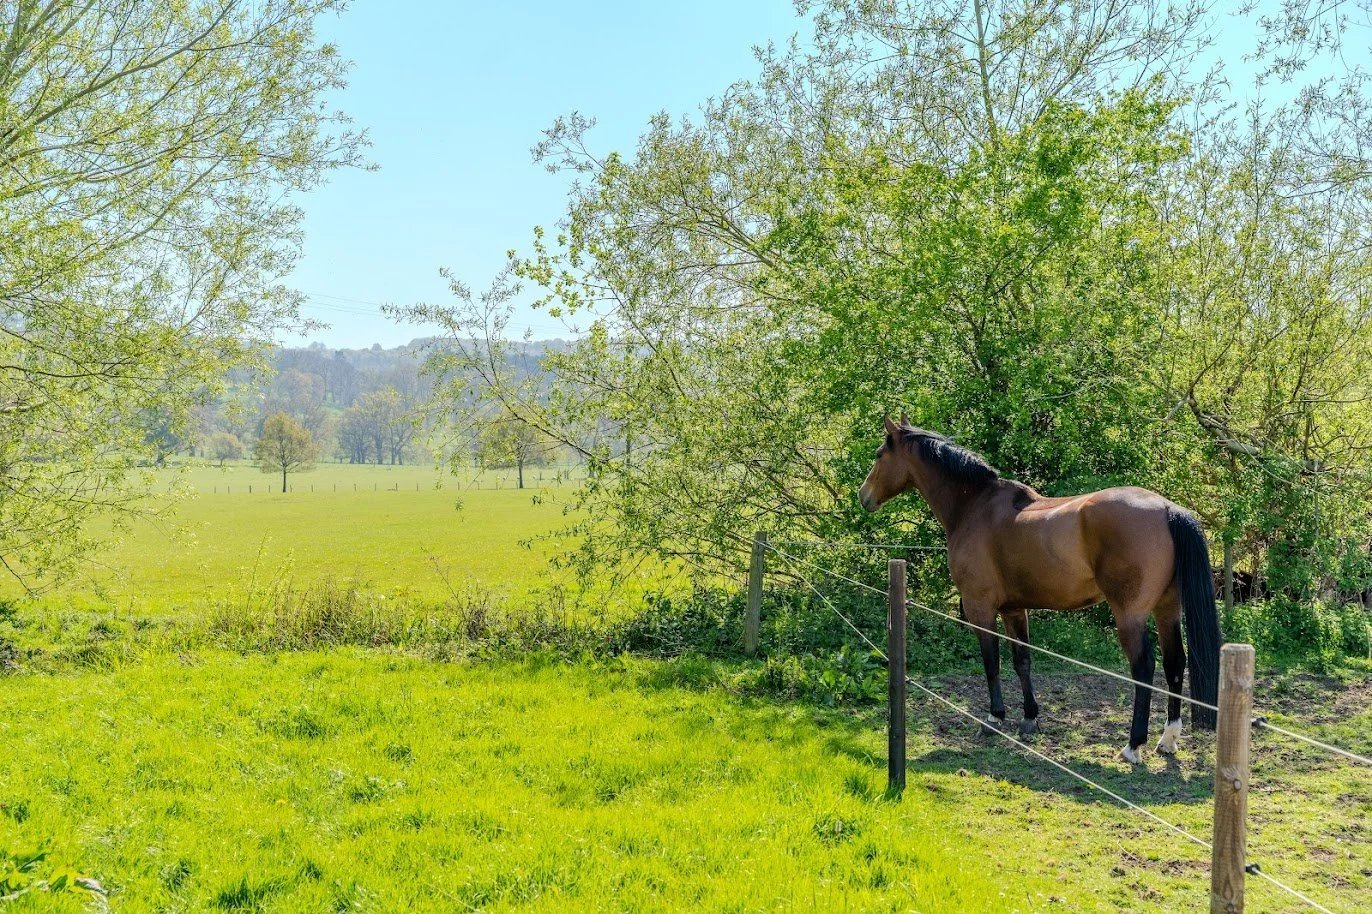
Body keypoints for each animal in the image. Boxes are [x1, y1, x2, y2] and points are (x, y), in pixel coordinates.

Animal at [858, 415, 1220, 763]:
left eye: (879, 455)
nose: (864, 496)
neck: (974, 505)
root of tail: (1168, 509)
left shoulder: (979, 607)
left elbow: (991, 661)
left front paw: (994, 717)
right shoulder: (1014, 610)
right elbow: (1022, 661)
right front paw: (1029, 717)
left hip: (1129, 616)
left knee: (1144, 668)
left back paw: (1134, 746)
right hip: (1166, 609)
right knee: (1175, 663)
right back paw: (1168, 740)